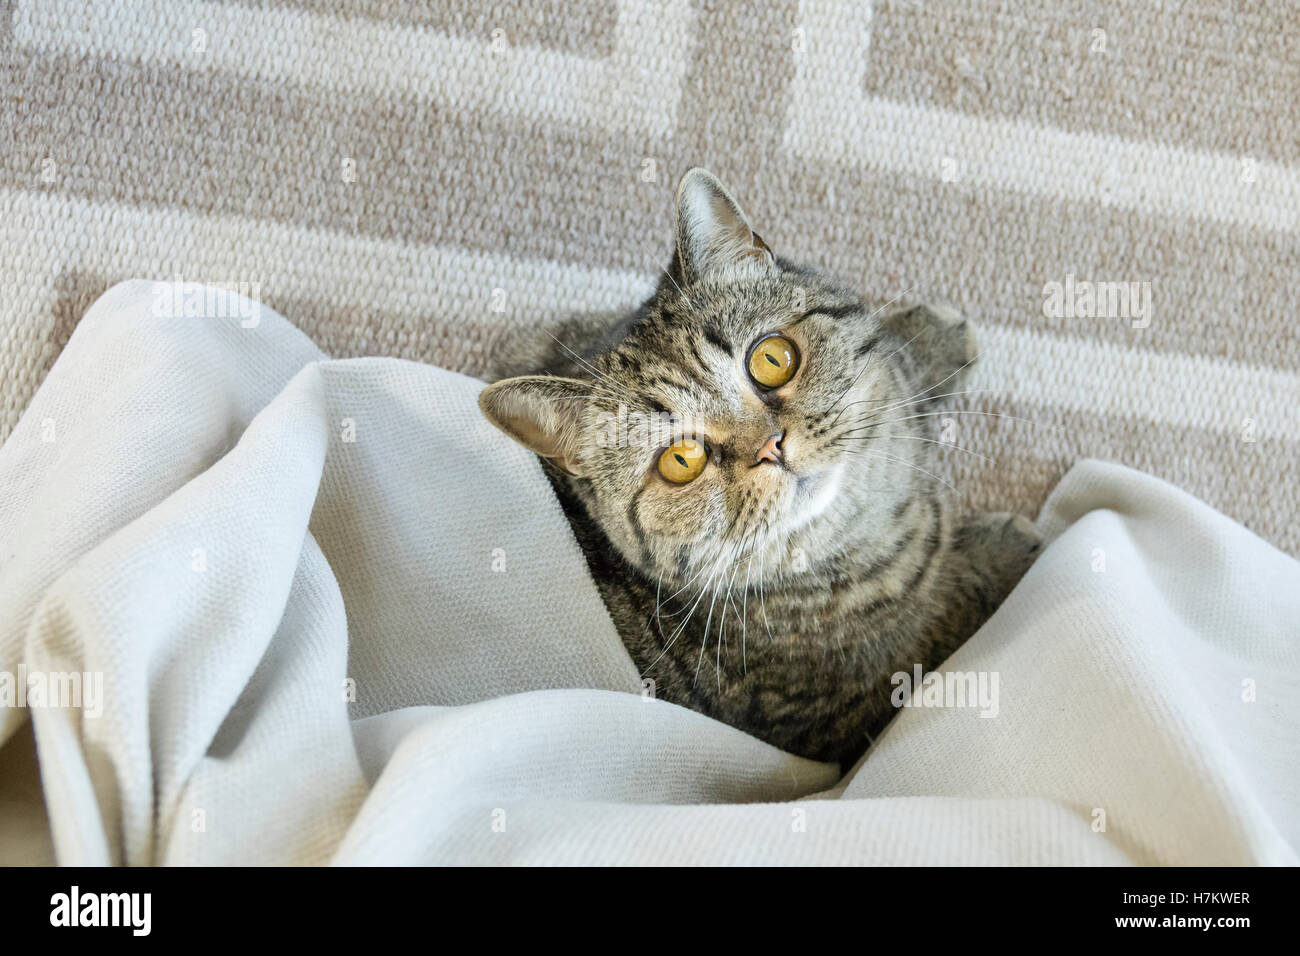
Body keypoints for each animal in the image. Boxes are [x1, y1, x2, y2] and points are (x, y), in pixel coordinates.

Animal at [478, 170, 1034, 770]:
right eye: (681, 460)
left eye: (772, 358)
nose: (771, 446)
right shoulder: (869, 690)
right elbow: (952, 600)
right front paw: (1010, 546)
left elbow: (896, 367)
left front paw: (927, 338)